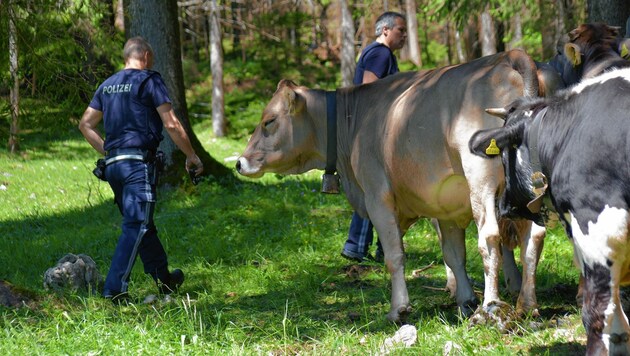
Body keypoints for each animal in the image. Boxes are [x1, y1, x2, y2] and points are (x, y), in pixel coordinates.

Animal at [237, 48, 548, 322]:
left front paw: (398, 309)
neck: (354, 120)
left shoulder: (377, 196)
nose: (240, 162)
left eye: (269, 121)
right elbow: (454, 255)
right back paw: (527, 305)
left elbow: (394, 255)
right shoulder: (446, 202)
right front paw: (464, 301)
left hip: (481, 181)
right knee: (533, 236)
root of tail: (507, 57)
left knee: (491, 237)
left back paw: (491, 307)